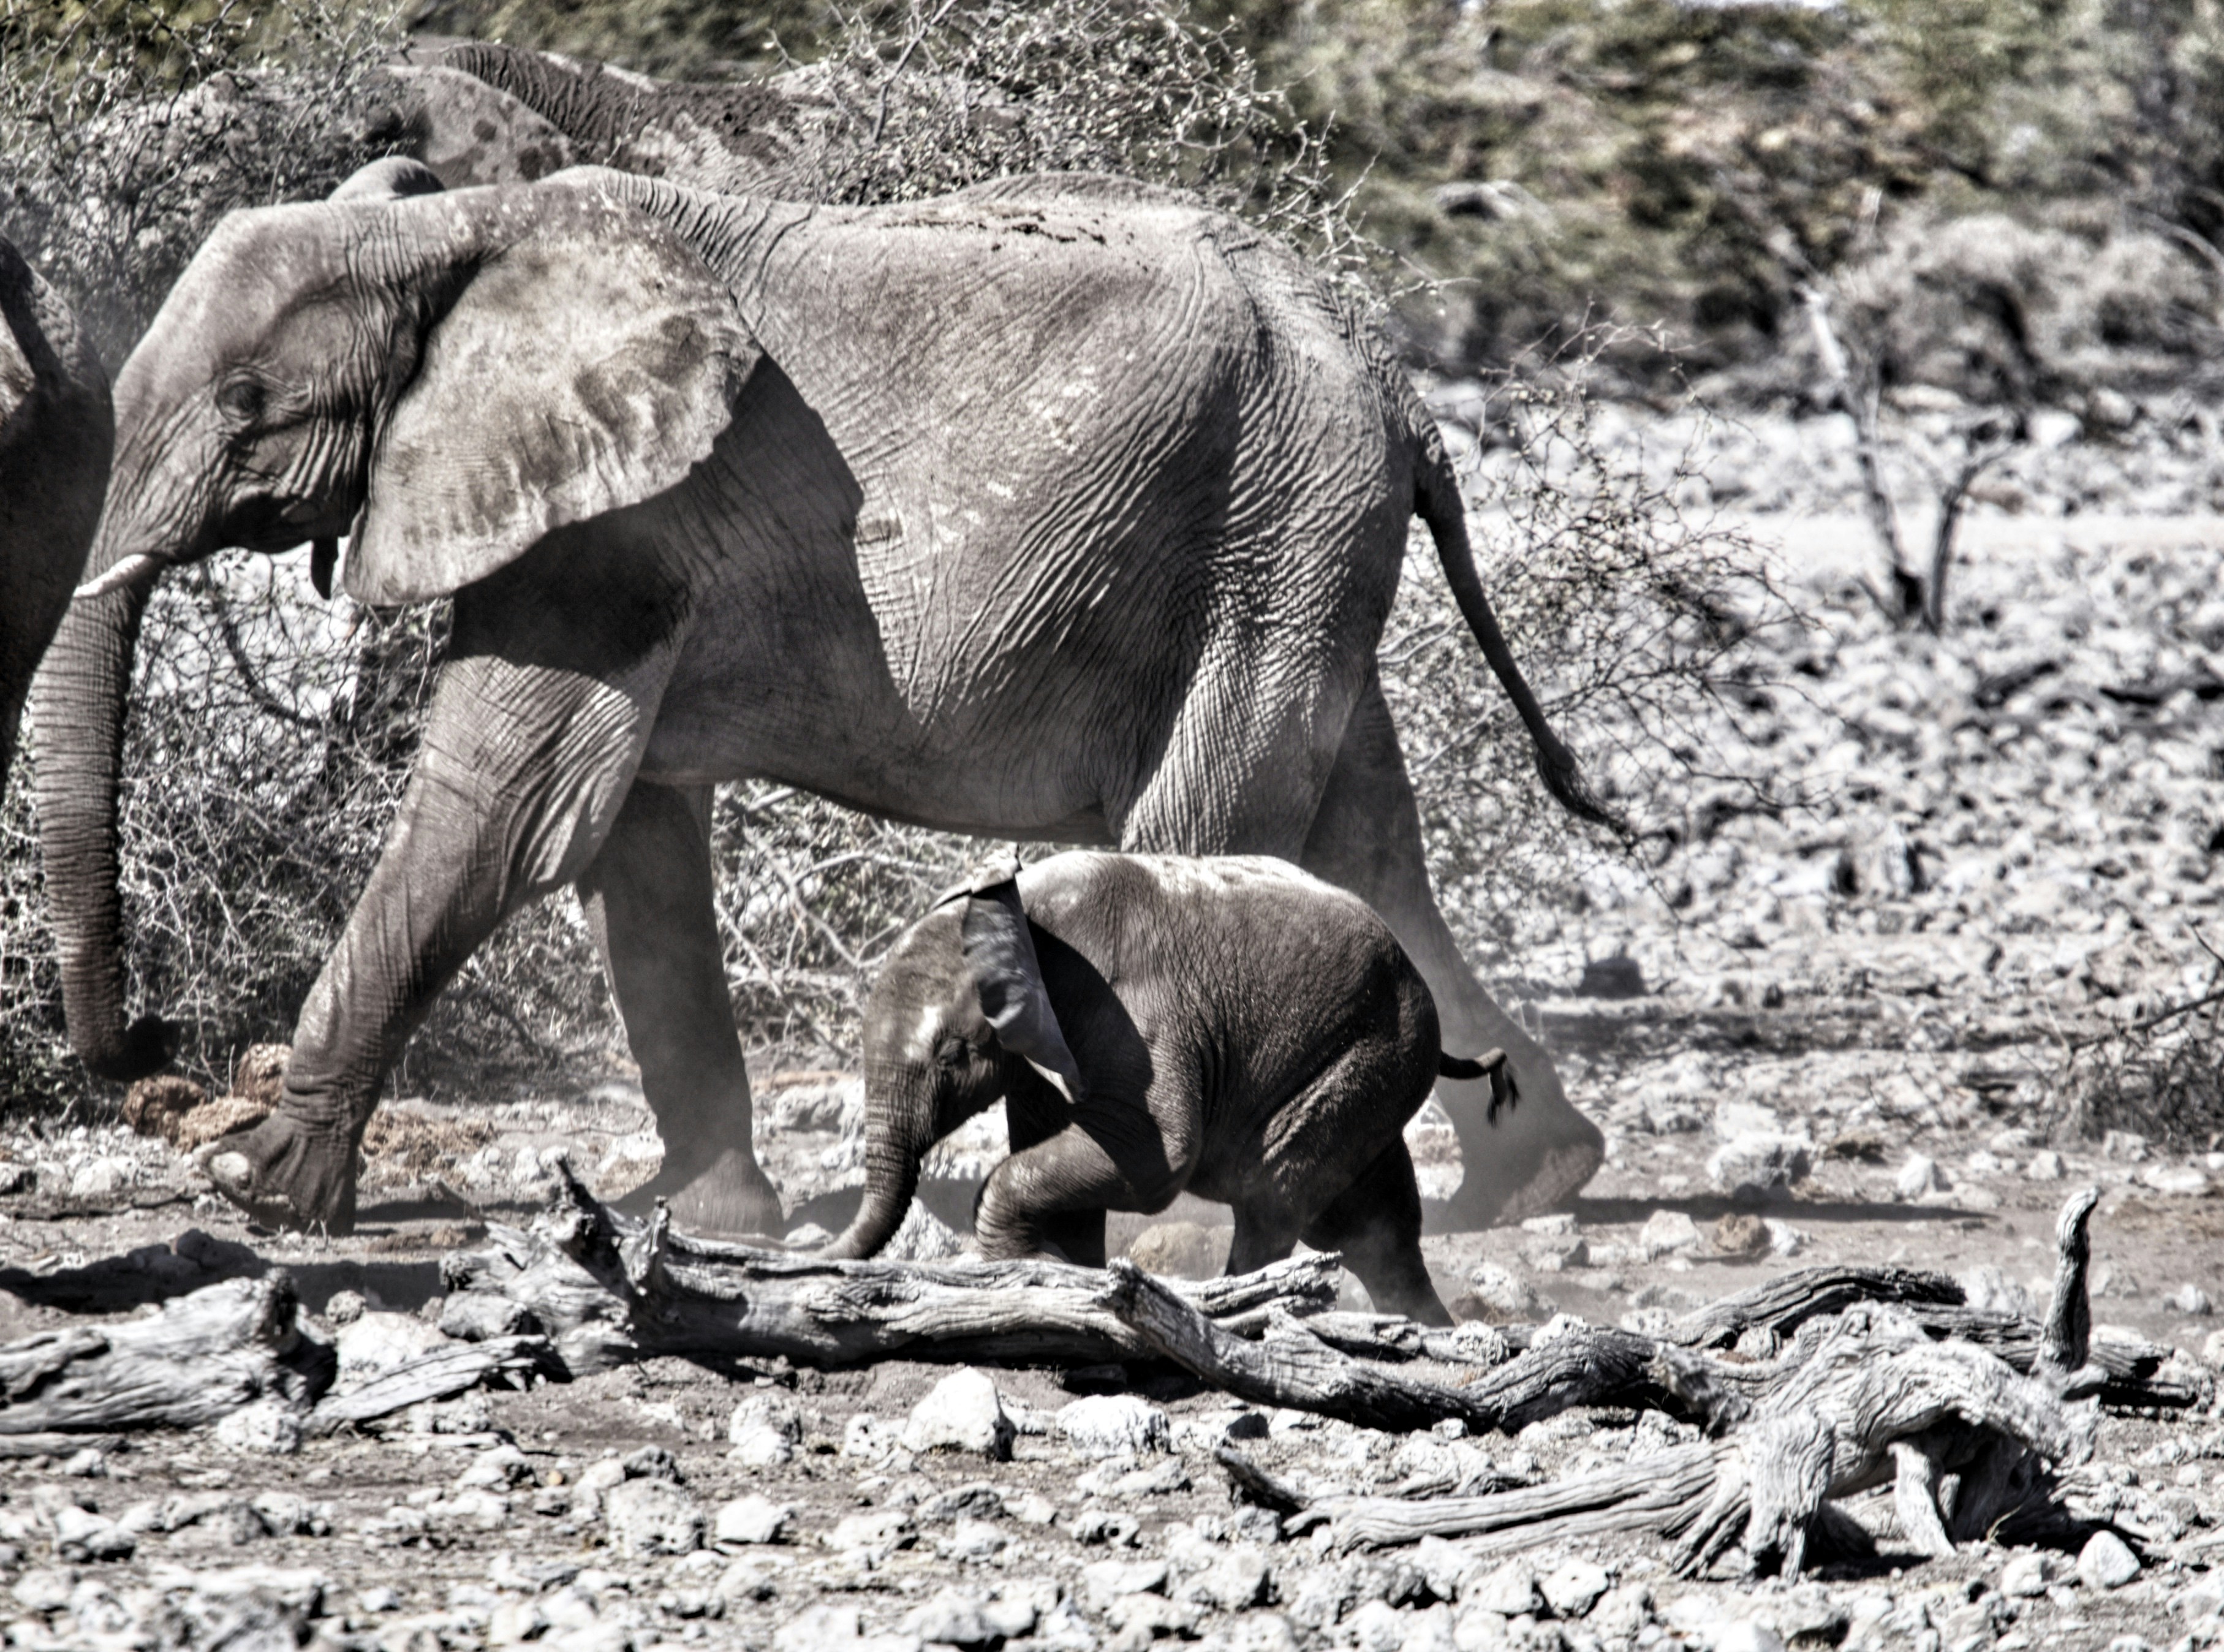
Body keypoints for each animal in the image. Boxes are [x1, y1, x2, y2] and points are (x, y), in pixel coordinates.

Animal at [48, 158, 1609, 1236]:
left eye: (247, 406)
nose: (157, 1044)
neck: (470, 230)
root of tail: (1402, 393)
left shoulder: (607, 528)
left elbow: (502, 815)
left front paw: (259, 1188)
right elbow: (634, 841)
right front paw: (717, 1220)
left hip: (1270, 534)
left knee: (1225, 837)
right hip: (1300, 553)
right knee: (1366, 847)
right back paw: (1532, 1187)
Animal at [823, 851, 1518, 1325]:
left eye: (951, 1055)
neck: (1021, 909)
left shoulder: (1133, 1016)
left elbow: (1153, 1158)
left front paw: (1019, 1264)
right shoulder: (1043, 1049)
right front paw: (1059, 1273)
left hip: (1368, 1055)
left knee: (1274, 1195)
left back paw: (1233, 1303)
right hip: (1373, 1072)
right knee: (1374, 1228)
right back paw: (1430, 1325)